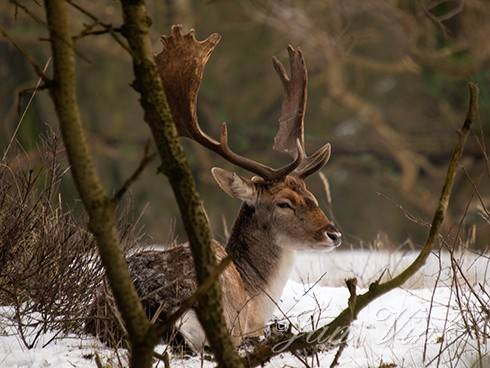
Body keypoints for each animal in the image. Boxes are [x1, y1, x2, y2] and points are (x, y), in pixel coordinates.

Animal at [87, 25, 340, 350]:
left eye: (312, 196)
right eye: (284, 203)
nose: (333, 233)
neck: (254, 294)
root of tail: (151, 301)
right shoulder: (249, 324)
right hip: (221, 325)